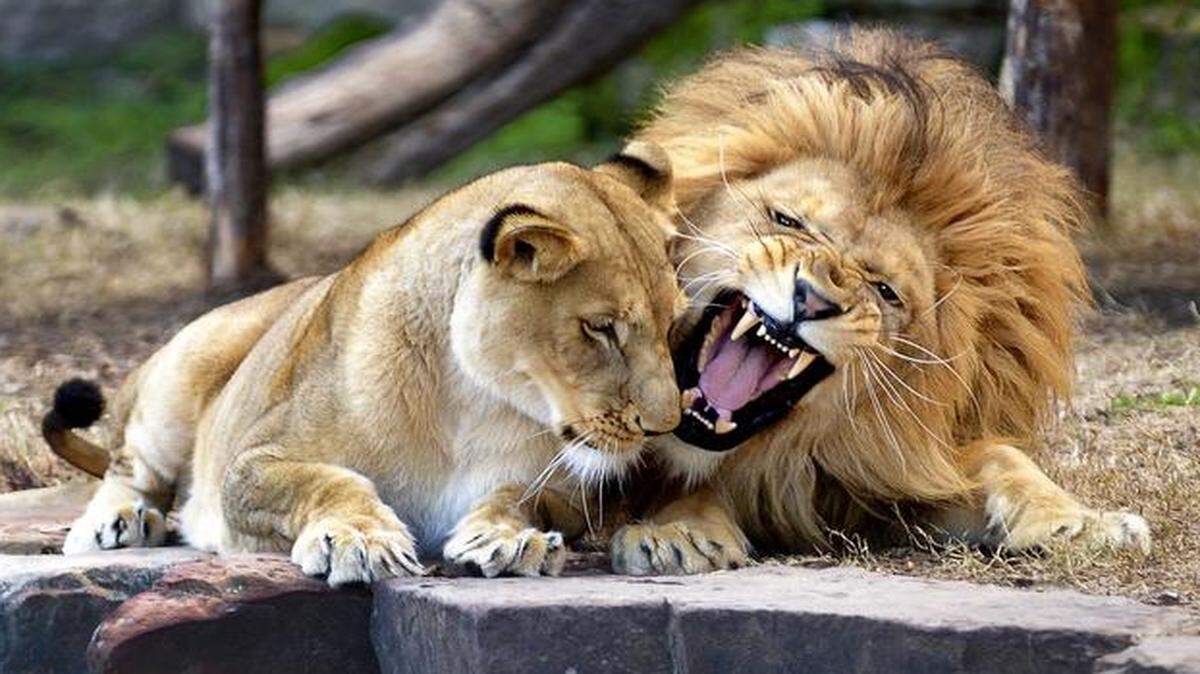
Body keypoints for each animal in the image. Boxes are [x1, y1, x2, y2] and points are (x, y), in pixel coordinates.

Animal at [44, 143, 687, 584]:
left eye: (673, 322)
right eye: (600, 328)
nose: (665, 427)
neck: (474, 402)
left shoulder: (570, 490)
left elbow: (521, 496)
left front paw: (506, 537)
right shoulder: (252, 462)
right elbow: (326, 480)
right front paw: (358, 539)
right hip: (186, 369)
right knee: (130, 466)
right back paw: (116, 523)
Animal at [609, 29, 1151, 575]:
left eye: (885, 290)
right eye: (787, 221)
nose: (811, 300)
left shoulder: (889, 471)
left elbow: (1002, 457)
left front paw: (1080, 522)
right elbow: (673, 485)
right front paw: (679, 533)